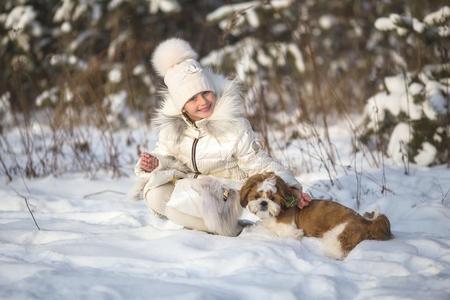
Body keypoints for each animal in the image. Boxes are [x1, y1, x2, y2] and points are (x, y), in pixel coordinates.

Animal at [241, 172, 392, 258]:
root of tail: (367, 222)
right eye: (256, 196)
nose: (264, 203)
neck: (278, 212)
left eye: (272, 198)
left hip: (336, 236)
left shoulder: (291, 232)